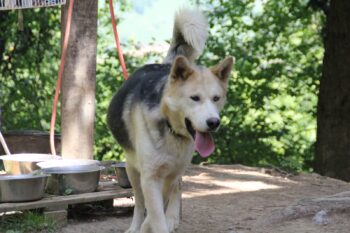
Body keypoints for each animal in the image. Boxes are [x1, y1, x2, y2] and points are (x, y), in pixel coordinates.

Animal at [106, 8, 232, 232]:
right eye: (195, 98)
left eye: (216, 98)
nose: (213, 123)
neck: (170, 128)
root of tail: (166, 65)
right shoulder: (150, 177)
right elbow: (152, 212)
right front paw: (147, 225)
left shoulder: (169, 176)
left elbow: (158, 211)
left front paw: (162, 221)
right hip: (132, 170)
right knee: (139, 203)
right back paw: (135, 226)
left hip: (175, 170)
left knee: (175, 190)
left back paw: (172, 218)